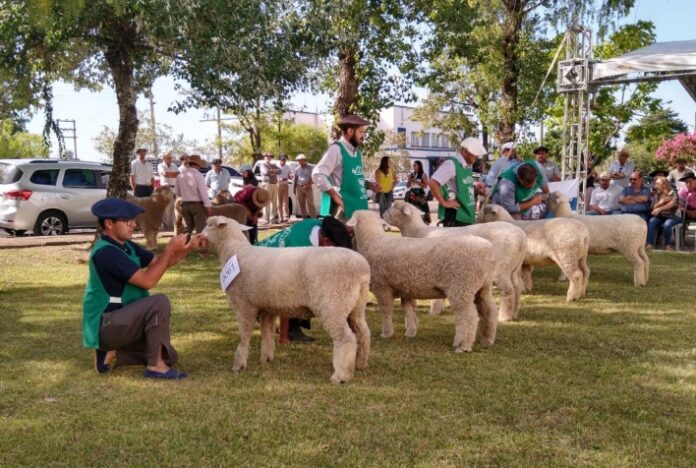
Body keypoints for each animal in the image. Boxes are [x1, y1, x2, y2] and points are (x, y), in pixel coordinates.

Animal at [204, 216, 372, 384]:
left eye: (209, 225)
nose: (200, 235)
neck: (234, 251)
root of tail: (362, 269)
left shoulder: (245, 306)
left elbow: (244, 336)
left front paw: (238, 365)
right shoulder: (266, 309)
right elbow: (267, 334)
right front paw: (266, 359)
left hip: (334, 304)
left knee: (346, 339)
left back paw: (341, 376)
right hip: (356, 306)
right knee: (363, 333)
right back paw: (360, 364)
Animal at [350, 210, 498, 352]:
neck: (372, 242)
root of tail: (489, 249)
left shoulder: (382, 287)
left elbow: (386, 311)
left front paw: (386, 333)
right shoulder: (406, 289)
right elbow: (408, 310)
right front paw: (410, 332)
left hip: (462, 285)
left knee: (468, 316)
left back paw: (463, 346)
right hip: (482, 286)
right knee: (489, 311)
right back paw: (487, 340)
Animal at [380, 201, 528, 322]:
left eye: (394, 206)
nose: (382, 215)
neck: (418, 232)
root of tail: (521, 237)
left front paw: (434, 311)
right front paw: (438, 309)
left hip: (502, 267)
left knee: (508, 290)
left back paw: (504, 316)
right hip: (514, 267)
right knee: (517, 287)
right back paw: (514, 313)